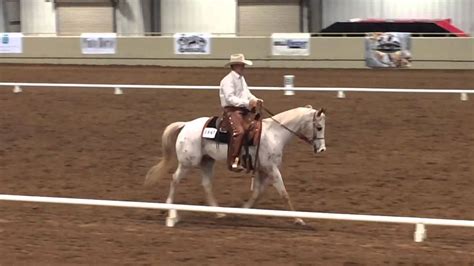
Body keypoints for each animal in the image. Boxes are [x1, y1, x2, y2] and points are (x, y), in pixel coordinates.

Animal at [144, 105, 326, 225]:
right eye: (319, 127)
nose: (322, 149)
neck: (274, 134)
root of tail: (186, 125)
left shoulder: (263, 170)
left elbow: (257, 192)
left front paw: (243, 211)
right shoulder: (272, 169)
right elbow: (284, 193)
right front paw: (299, 219)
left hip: (207, 161)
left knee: (206, 184)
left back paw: (219, 213)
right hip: (188, 163)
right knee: (175, 180)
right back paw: (171, 213)